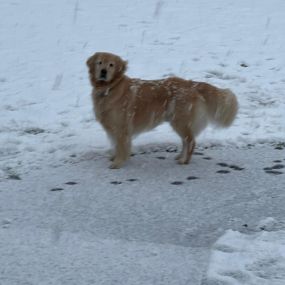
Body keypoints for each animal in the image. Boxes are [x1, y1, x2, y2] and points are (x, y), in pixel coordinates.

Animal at [86, 51, 237, 168]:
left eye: (111, 64)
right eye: (100, 62)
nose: (103, 72)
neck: (110, 88)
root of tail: (191, 84)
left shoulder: (122, 128)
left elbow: (122, 147)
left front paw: (118, 162)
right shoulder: (112, 128)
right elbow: (115, 145)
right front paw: (114, 157)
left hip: (180, 121)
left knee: (191, 141)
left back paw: (184, 161)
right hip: (178, 122)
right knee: (186, 141)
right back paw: (180, 156)